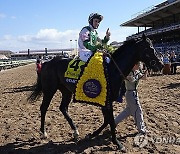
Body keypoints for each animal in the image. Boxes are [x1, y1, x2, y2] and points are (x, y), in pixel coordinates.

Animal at [27, 35, 164, 150]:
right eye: (150, 49)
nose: (161, 65)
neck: (112, 69)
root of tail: (47, 62)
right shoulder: (107, 102)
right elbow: (110, 121)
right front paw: (117, 143)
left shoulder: (106, 102)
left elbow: (108, 120)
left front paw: (93, 134)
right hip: (49, 90)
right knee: (44, 108)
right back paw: (43, 132)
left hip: (66, 91)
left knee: (63, 108)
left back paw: (75, 132)